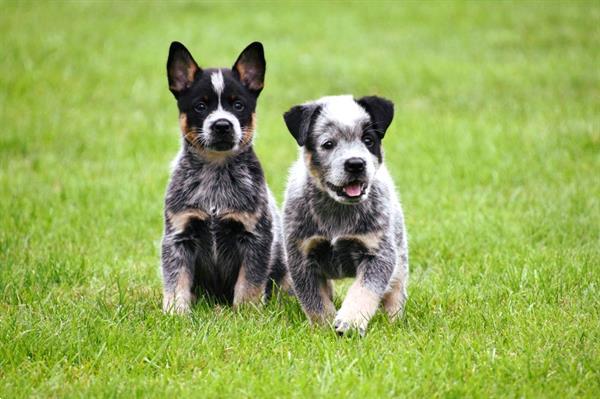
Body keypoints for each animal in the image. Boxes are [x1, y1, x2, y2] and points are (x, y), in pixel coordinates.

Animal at [161, 41, 288, 316]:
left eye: (237, 105)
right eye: (200, 106)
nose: (222, 125)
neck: (215, 174)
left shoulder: (255, 236)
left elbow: (249, 283)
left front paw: (247, 314)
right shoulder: (179, 235)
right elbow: (176, 280)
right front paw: (176, 313)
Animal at [282, 95, 408, 336]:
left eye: (368, 140)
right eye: (328, 144)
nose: (356, 163)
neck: (338, 212)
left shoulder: (377, 253)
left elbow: (364, 291)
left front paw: (350, 322)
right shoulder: (302, 256)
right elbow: (315, 301)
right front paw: (323, 328)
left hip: (399, 257)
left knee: (395, 291)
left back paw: (394, 321)